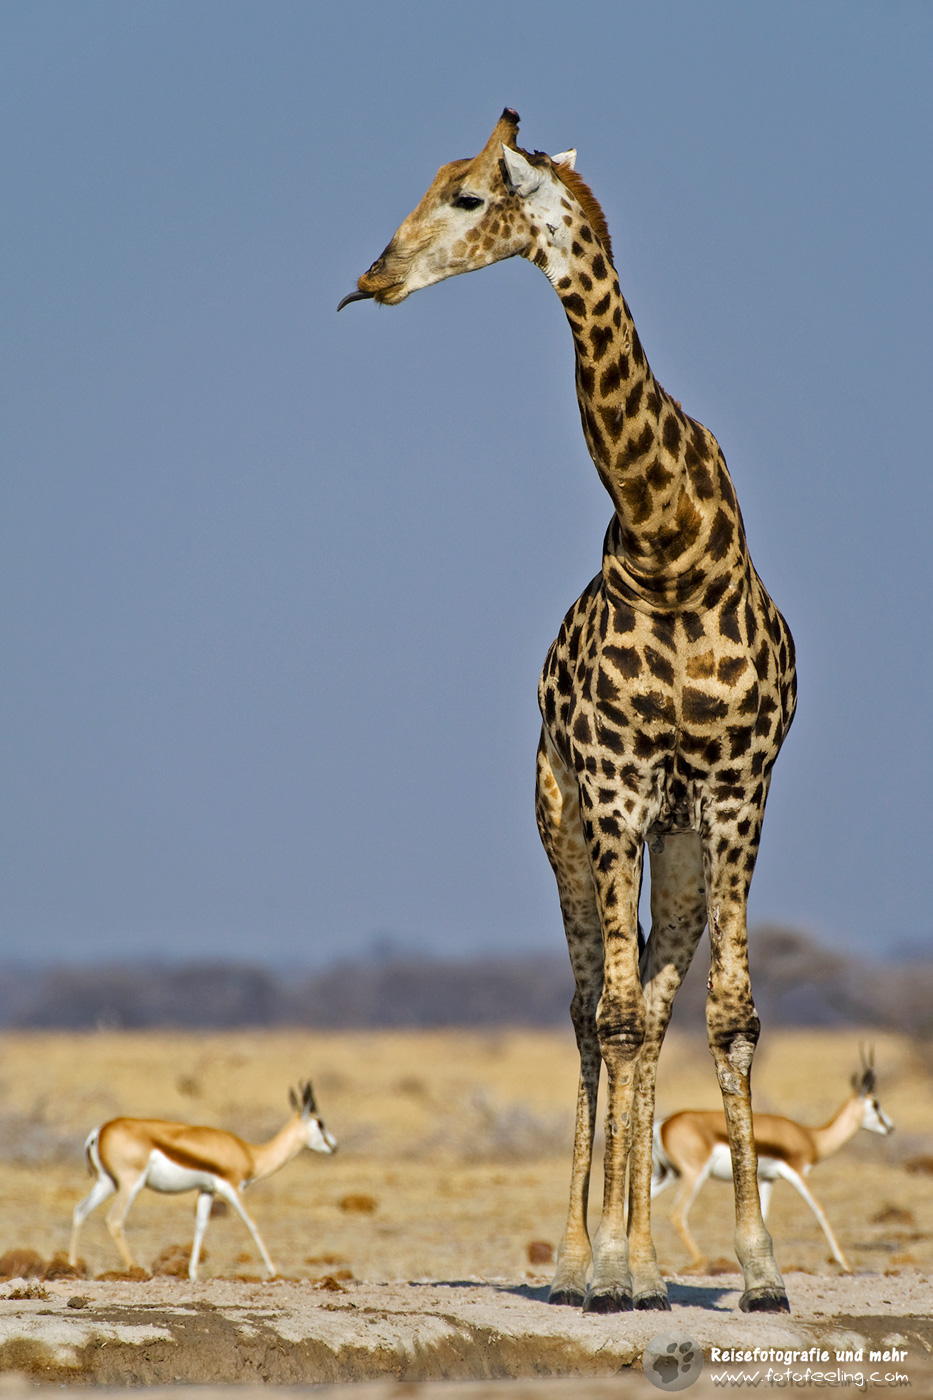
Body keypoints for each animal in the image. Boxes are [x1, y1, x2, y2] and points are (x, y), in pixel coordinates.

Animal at [338, 110, 796, 1314]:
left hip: (675, 847)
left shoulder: (736, 789)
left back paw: (645, 1258)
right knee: (594, 1008)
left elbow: (727, 1014)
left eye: (463, 195)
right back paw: (594, 1257)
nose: (371, 278)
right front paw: (607, 1273)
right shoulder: (615, 782)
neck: (673, 544)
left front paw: (759, 1272)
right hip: (567, 826)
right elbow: (615, 1018)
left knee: (654, 1006)